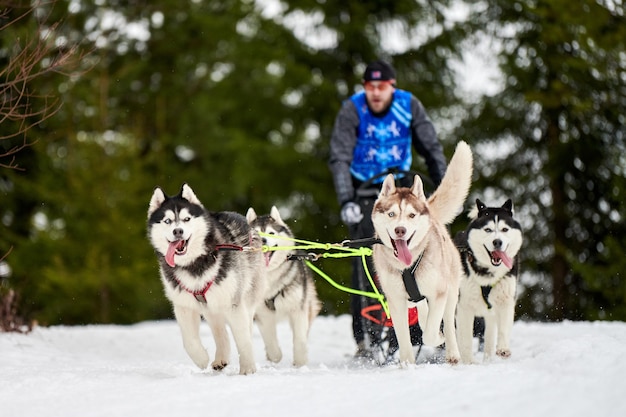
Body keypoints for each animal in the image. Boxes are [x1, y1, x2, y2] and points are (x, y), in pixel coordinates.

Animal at [147, 184, 266, 376]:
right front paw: (201, 358)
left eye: (186, 219)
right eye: (167, 221)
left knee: (245, 327)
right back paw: (220, 359)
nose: (178, 231)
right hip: (211, 307)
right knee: (220, 332)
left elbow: (243, 339)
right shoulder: (183, 305)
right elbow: (189, 341)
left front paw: (248, 369)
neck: (194, 264)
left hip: (244, 297)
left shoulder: (233, 302)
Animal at [245, 206, 320, 366]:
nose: (263, 240)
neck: (269, 276)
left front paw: (300, 362)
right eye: (256, 233)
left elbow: (299, 339)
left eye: (271, 233)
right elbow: (271, 342)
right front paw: (274, 356)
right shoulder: (262, 314)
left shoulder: (298, 309)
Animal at [370, 141, 468, 364]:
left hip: (451, 290)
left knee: (448, 322)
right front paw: (407, 364)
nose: (400, 230)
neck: (406, 266)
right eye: (391, 214)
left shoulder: (440, 293)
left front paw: (437, 337)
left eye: (412, 215)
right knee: (420, 308)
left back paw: (452, 353)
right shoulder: (395, 300)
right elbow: (403, 339)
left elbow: (430, 333)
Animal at [454, 198, 520, 360]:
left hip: (490, 316)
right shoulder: (464, 306)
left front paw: (503, 349)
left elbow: (503, 329)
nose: (497, 242)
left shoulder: (506, 301)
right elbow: (465, 339)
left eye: (504, 229)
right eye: (488, 230)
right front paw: (468, 362)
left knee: (489, 338)